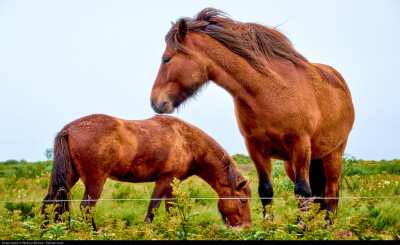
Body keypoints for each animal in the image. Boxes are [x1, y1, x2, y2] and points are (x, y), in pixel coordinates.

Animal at [42, 114, 252, 229]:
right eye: (243, 200)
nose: (247, 227)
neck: (187, 141)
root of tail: (69, 129)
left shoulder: (172, 185)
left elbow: (171, 209)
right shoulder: (165, 179)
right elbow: (153, 208)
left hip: (70, 177)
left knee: (50, 202)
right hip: (95, 181)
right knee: (86, 207)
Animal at [151, 8, 356, 217]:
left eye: (166, 59)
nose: (155, 101)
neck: (268, 92)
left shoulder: (300, 145)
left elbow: (302, 192)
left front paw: (300, 225)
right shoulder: (255, 148)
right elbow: (266, 191)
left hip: (332, 156)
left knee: (331, 194)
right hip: (298, 162)